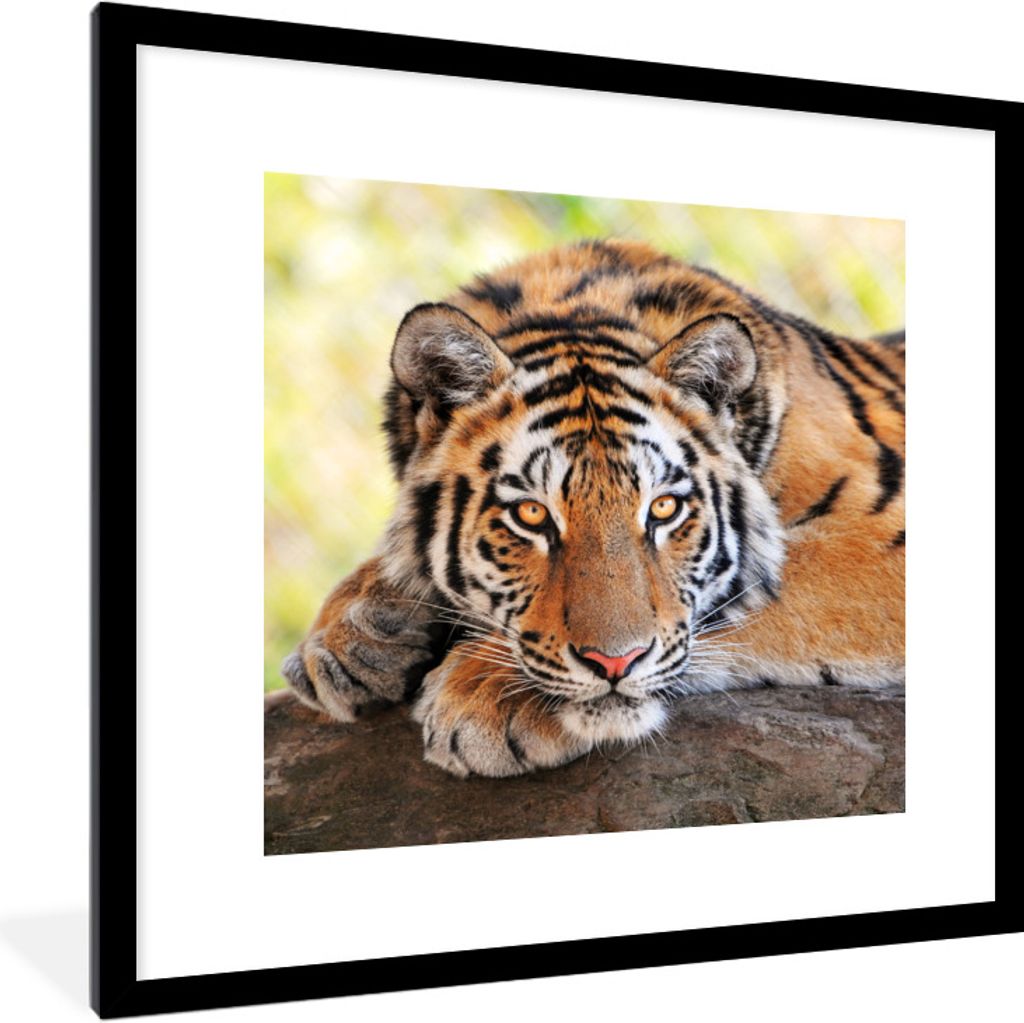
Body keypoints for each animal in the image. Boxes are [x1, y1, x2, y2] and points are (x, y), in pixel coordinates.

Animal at [280, 239, 905, 778]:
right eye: (532, 515)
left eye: (664, 508)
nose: (614, 665)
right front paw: (346, 638)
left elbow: (749, 595)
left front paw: (485, 692)